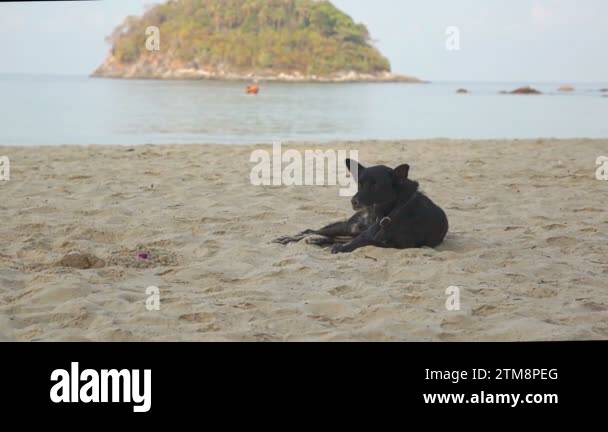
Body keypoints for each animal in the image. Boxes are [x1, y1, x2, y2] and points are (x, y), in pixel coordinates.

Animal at [274, 159, 446, 253]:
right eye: (360, 184)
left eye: (376, 186)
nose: (353, 201)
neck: (388, 213)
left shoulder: (399, 245)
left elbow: (365, 242)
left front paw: (341, 247)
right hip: (349, 227)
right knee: (313, 231)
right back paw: (293, 238)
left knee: (333, 238)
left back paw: (318, 241)